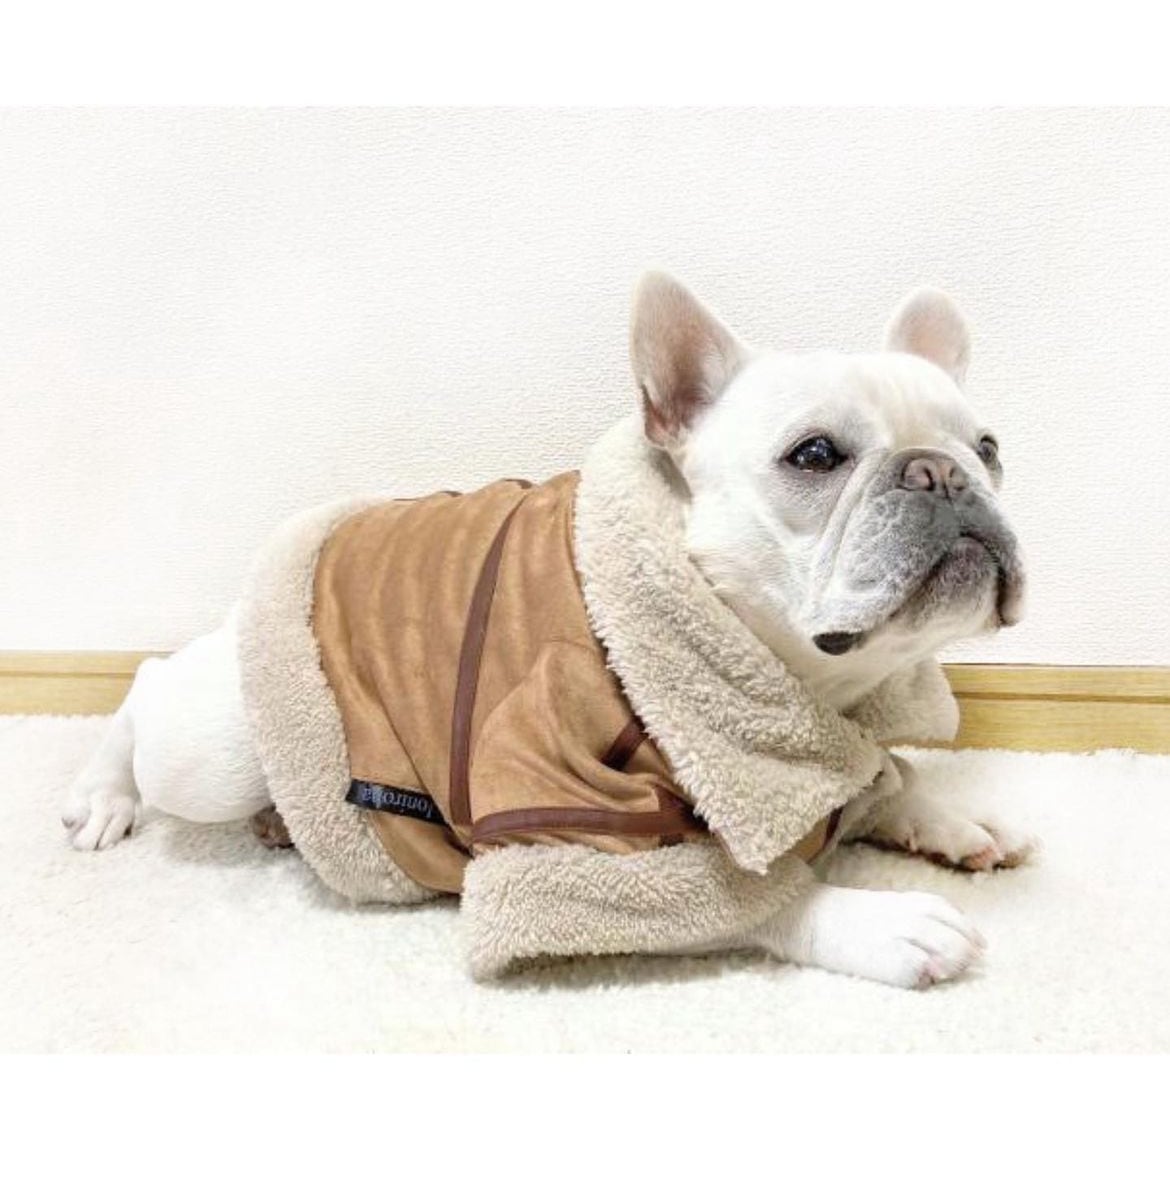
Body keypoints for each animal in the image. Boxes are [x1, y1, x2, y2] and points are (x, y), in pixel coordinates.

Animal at [63, 272, 1031, 989]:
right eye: (817, 454)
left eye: (987, 448)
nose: (942, 472)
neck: (815, 686)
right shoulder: (574, 847)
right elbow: (753, 897)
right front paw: (884, 920)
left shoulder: (844, 748)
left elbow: (891, 778)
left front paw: (953, 819)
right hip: (217, 746)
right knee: (147, 690)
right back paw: (105, 798)